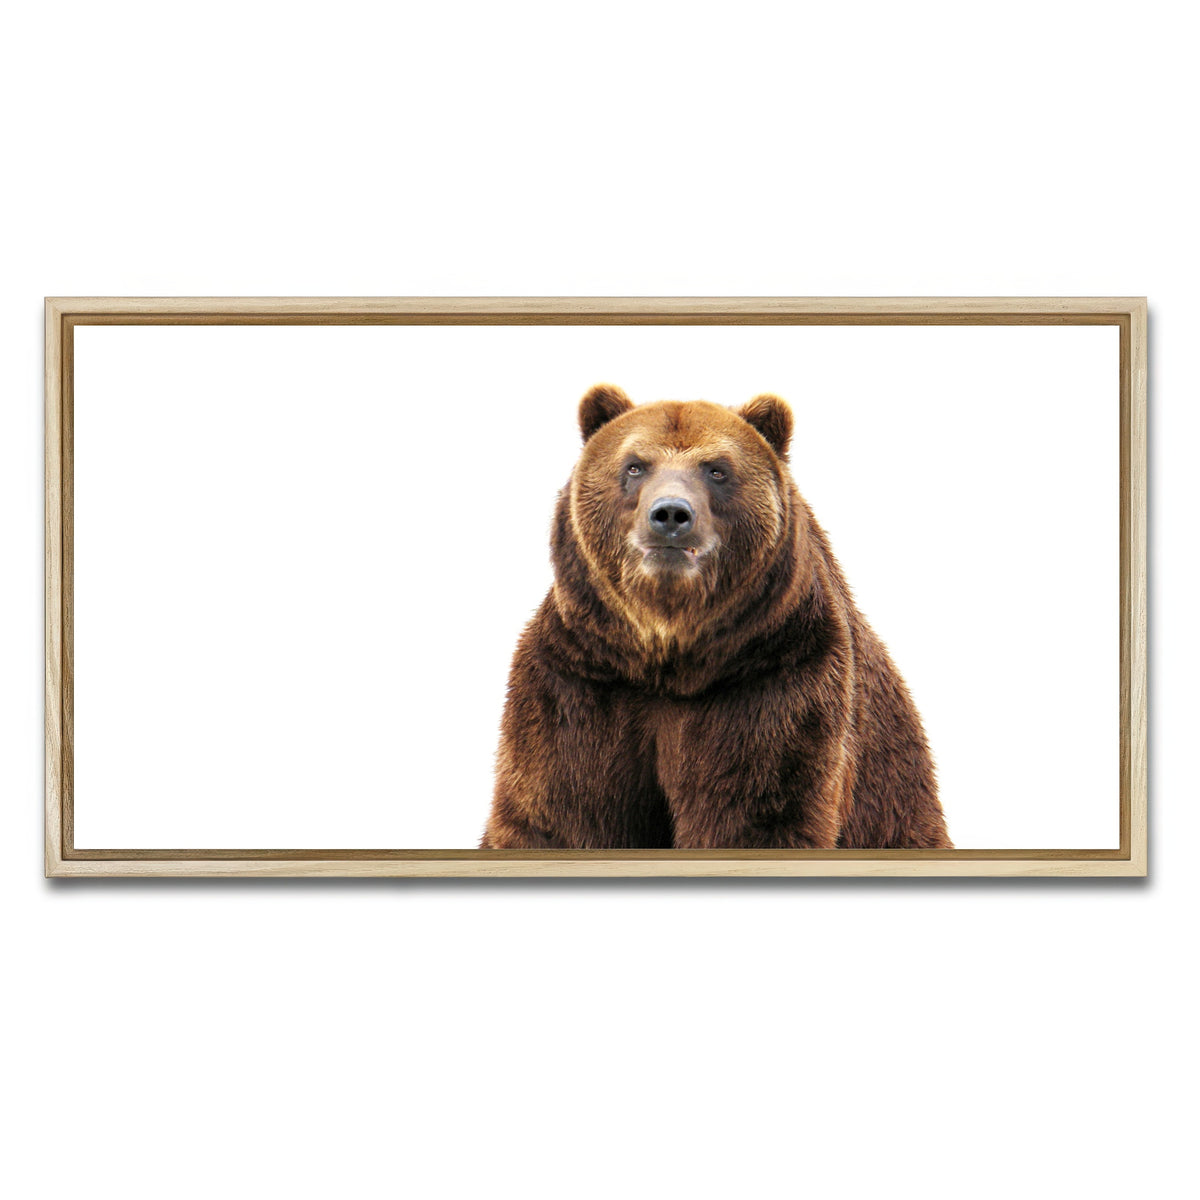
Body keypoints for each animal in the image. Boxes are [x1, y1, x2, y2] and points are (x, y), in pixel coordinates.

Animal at [481, 384, 951, 851]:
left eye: (717, 470)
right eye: (635, 465)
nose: (671, 514)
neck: (669, 656)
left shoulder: (774, 677)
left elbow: (757, 810)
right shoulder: (582, 678)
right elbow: (561, 810)